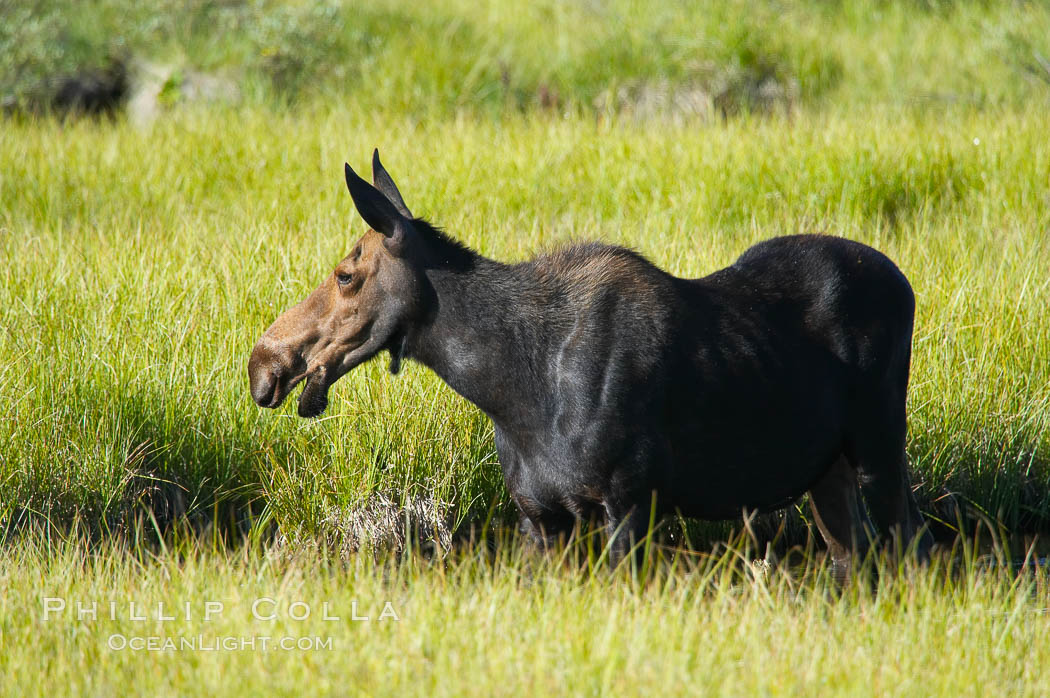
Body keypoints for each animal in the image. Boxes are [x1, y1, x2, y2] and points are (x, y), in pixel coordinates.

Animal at [247, 150, 936, 575]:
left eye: (346, 275)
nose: (262, 364)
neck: (509, 389)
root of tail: (905, 281)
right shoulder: (539, 517)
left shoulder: (628, 502)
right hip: (826, 470)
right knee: (855, 560)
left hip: (880, 446)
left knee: (912, 547)